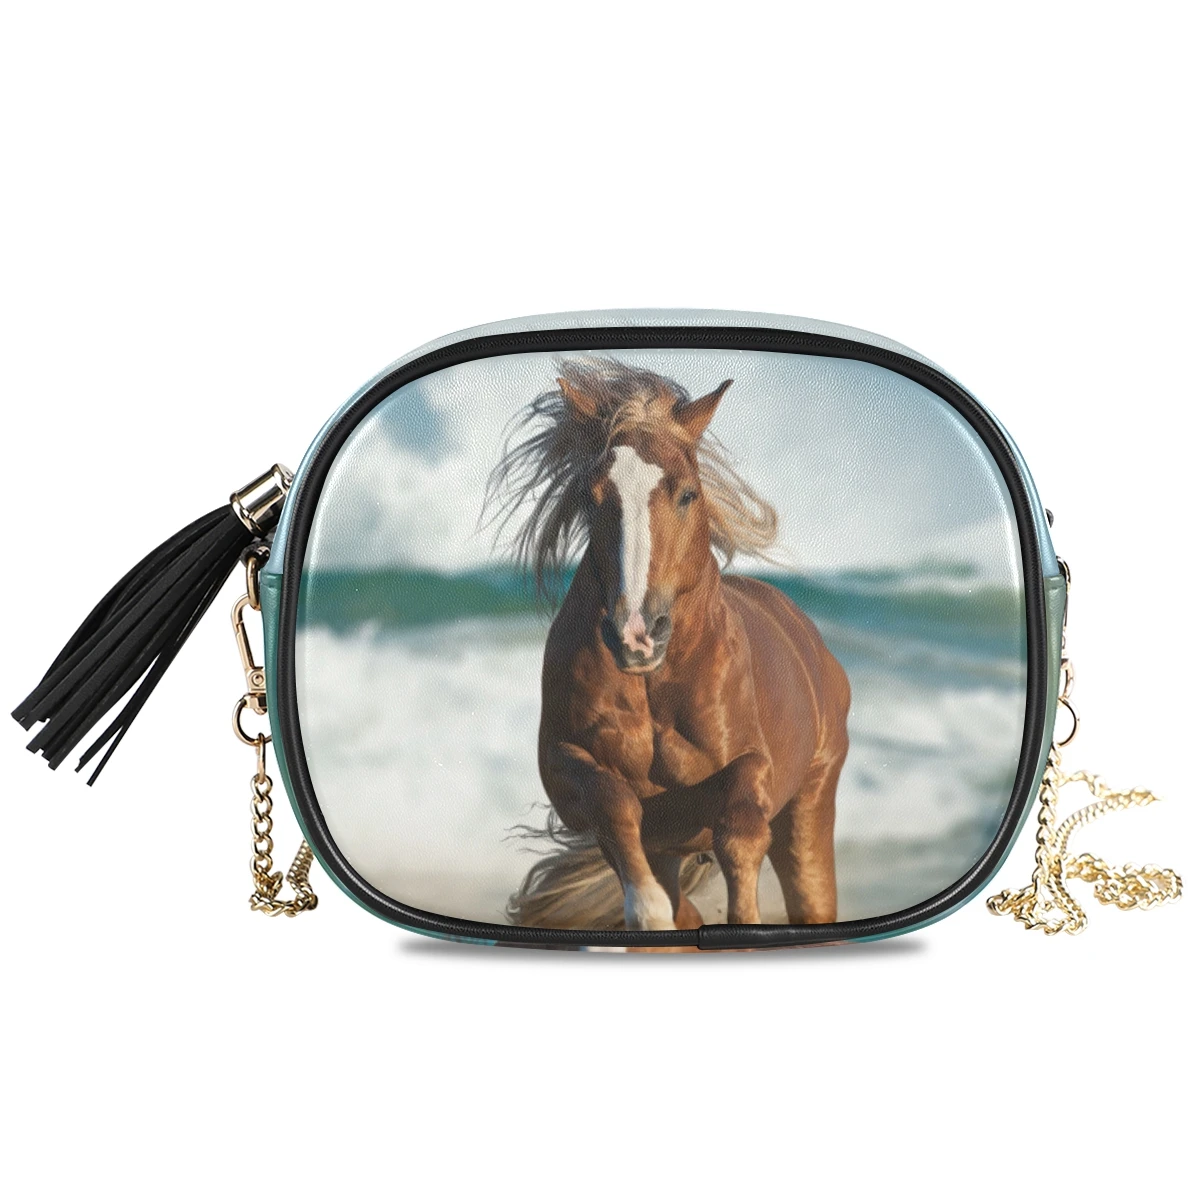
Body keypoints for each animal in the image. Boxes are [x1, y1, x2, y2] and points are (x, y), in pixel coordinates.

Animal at [488, 356, 850, 931]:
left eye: (687, 494)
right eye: (591, 498)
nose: (636, 633)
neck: (655, 685)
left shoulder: (752, 767)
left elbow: (741, 827)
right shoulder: (565, 768)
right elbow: (613, 802)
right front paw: (646, 910)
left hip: (810, 806)